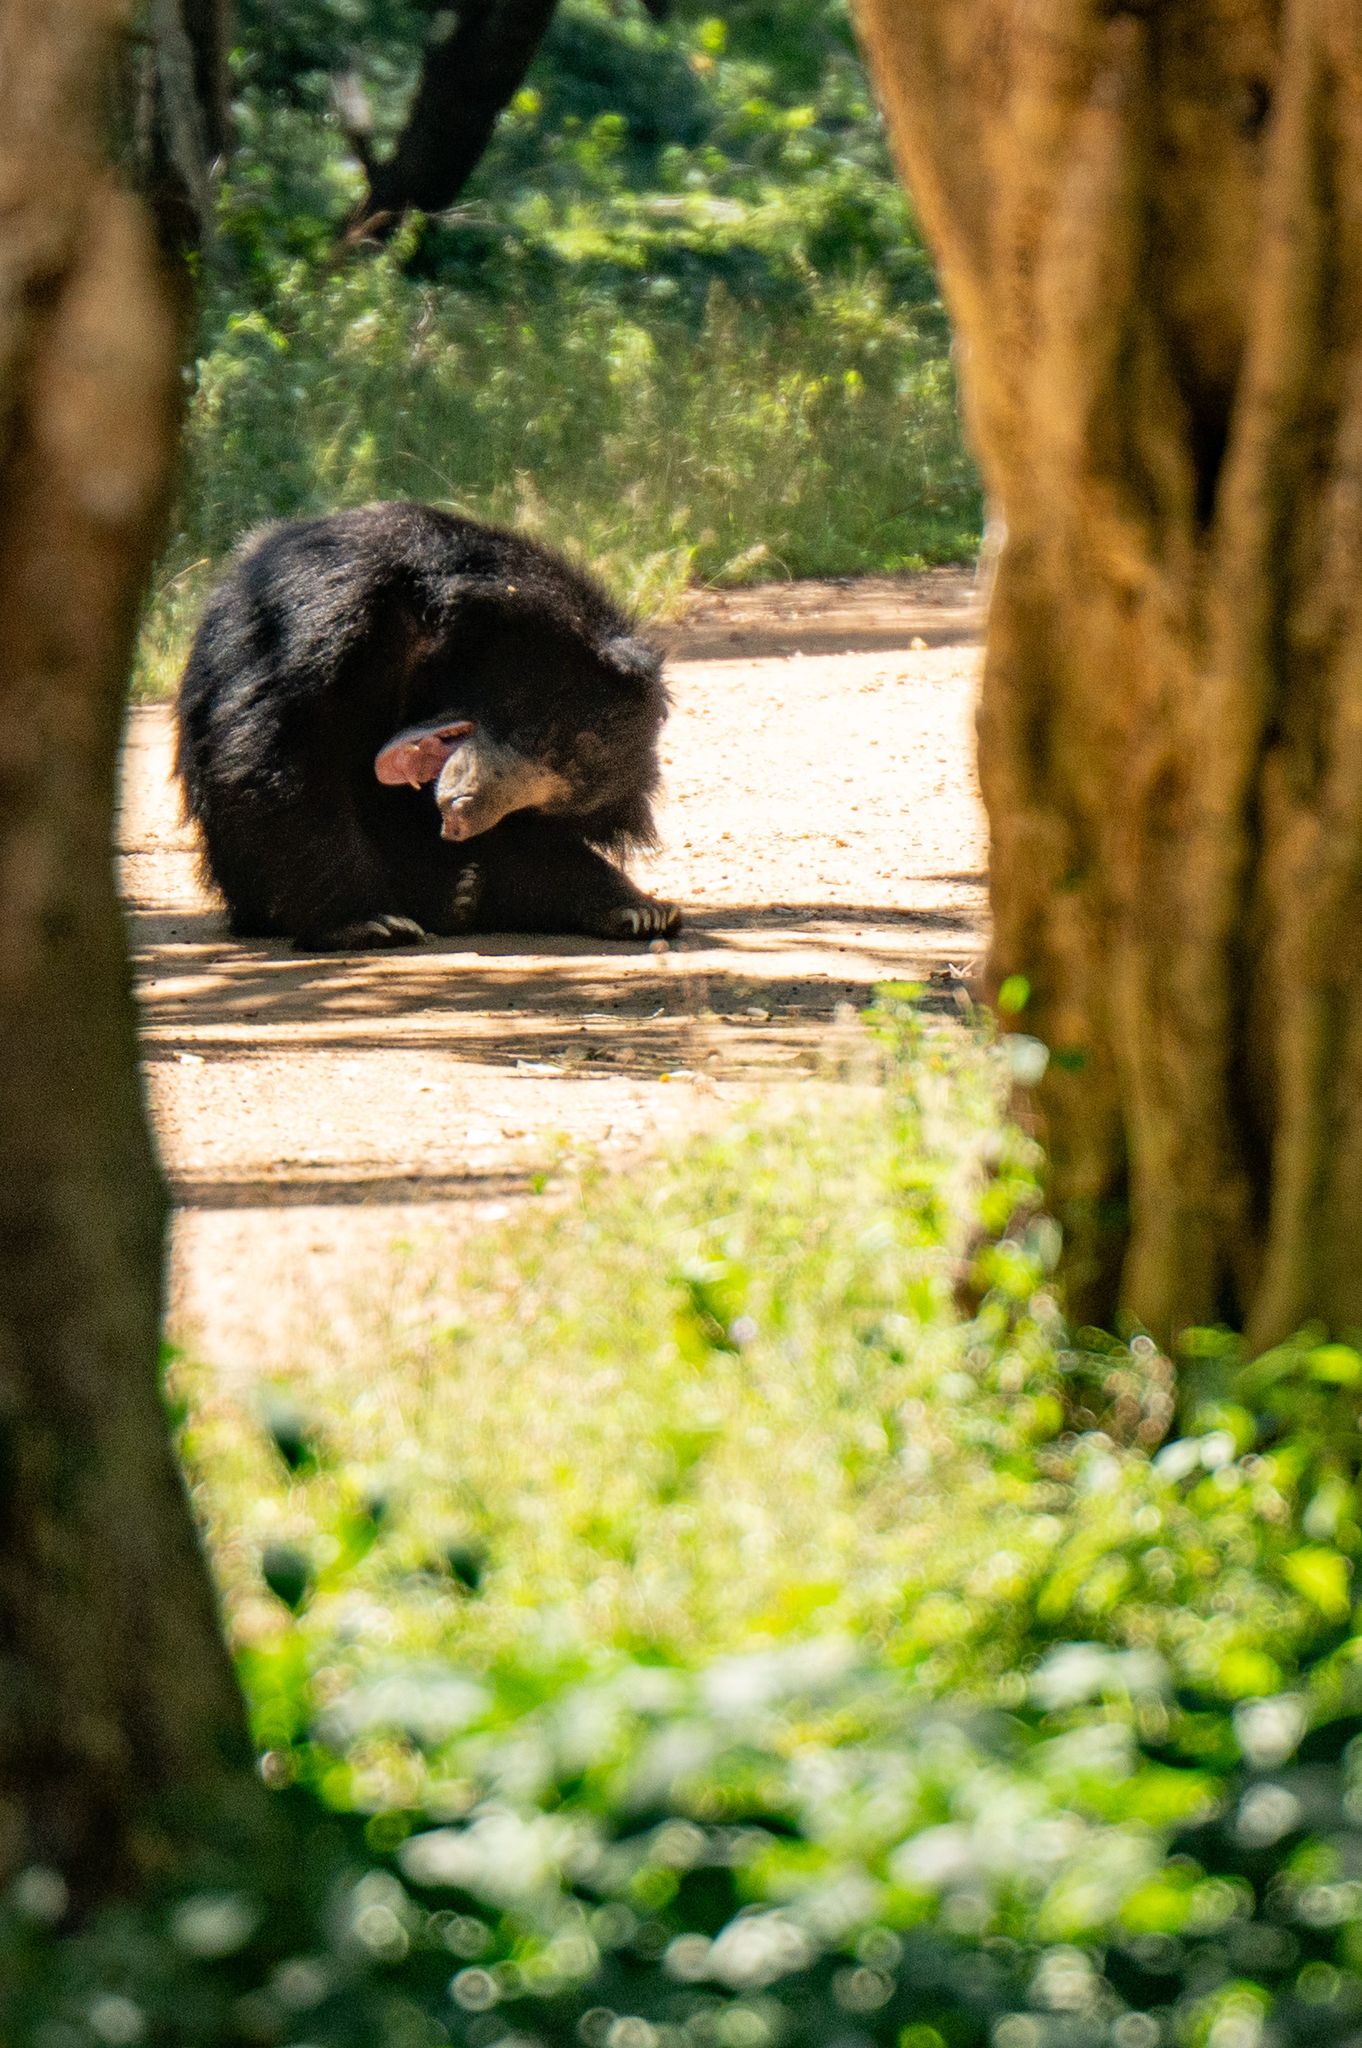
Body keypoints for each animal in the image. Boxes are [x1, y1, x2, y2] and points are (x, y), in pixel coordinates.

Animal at [174, 502, 682, 951]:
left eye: (540, 802)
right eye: (541, 736)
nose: (460, 818)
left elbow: (536, 843)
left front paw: (639, 909)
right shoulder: (324, 610)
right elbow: (280, 749)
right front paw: (369, 923)